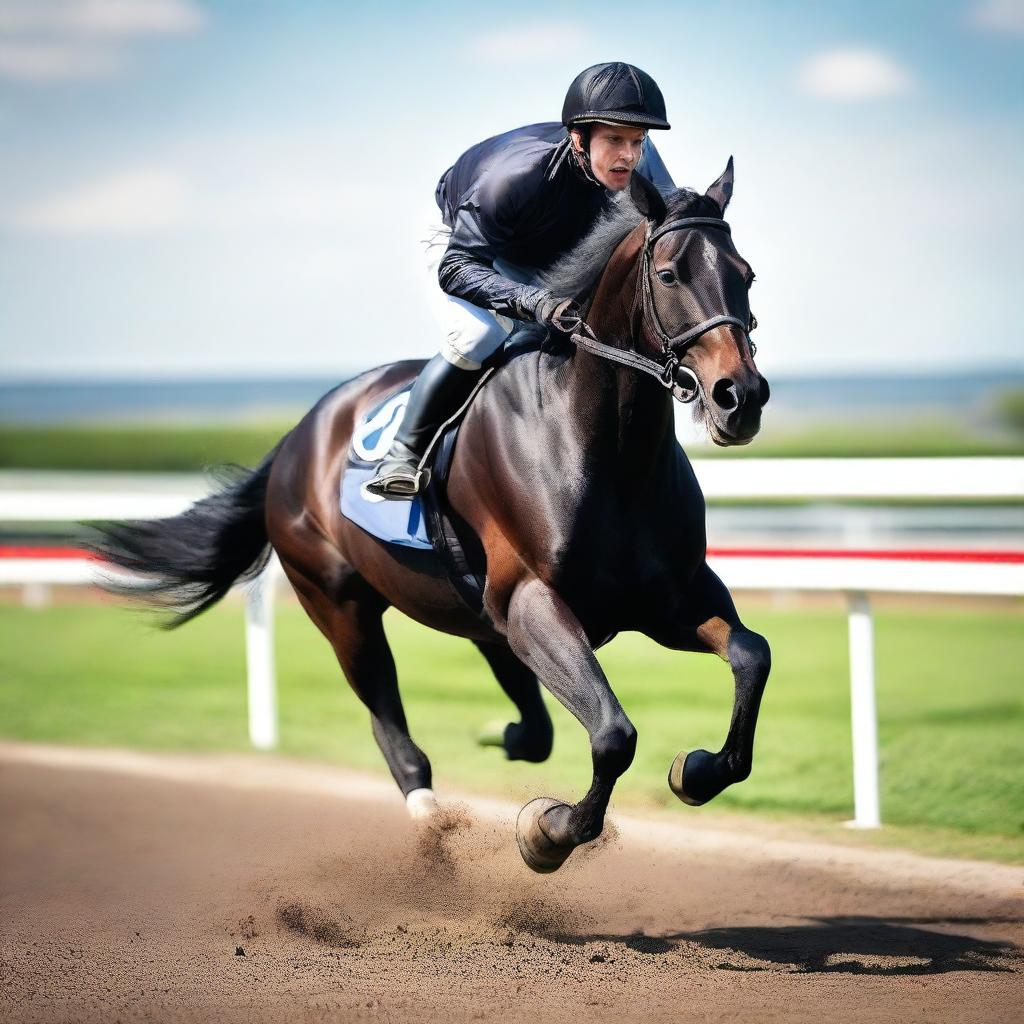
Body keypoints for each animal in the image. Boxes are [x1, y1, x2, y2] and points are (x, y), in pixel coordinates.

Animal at [97, 159, 770, 872]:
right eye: (669, 274)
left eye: (747, 273)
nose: (741, 396)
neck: (605, 448)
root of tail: (298, 436)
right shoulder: (535, 602)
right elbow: (614, 734)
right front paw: (548, 831)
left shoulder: (668, 600)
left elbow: (751, 656)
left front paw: (696, 771)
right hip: (341, 608)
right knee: (389, 720)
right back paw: (432, 818)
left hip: (478, 616)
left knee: (531, 720)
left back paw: (506, 735)